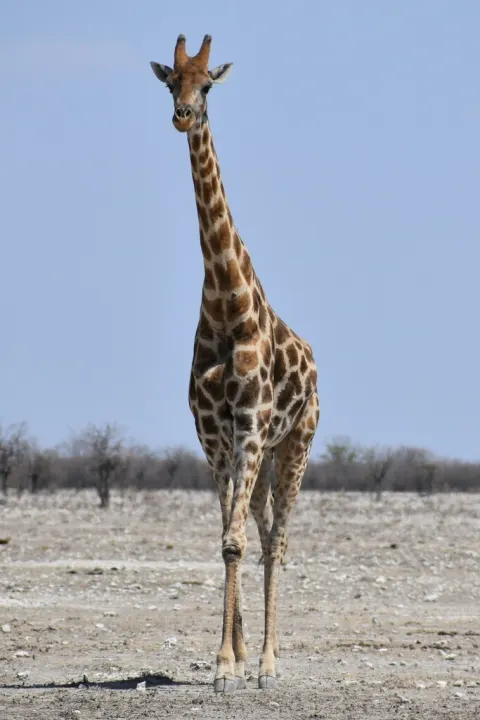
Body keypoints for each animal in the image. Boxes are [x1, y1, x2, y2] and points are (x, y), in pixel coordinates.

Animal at [150, 34, 320, 693]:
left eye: (208, 85)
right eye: (171, 81)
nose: (183, 115)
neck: (226, 302)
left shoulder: (249, 427)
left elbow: (239, 543)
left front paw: (239, 665)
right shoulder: (214, 439)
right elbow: (225, 539)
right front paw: (228, 659)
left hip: (294, 446)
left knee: (278, 540)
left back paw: (272, 663)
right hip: (267, 456)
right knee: (261, 530)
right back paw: (256, 655)